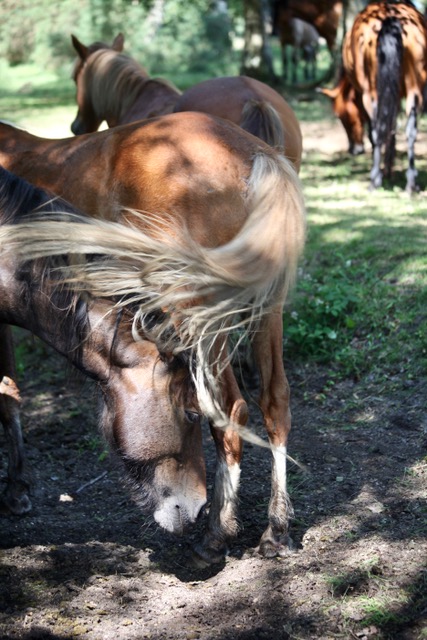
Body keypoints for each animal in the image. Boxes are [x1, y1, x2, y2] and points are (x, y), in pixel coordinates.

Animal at [340, 1, 427, 192]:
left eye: (343, 118)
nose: (354, 149)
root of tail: (391, 15)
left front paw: (383, 172)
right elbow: (393, 127)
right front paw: (389, 169)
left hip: (370, 92)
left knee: (376, 131)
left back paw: (375, 179)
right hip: (414, 87)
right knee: (410, 130)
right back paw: (411, 182)